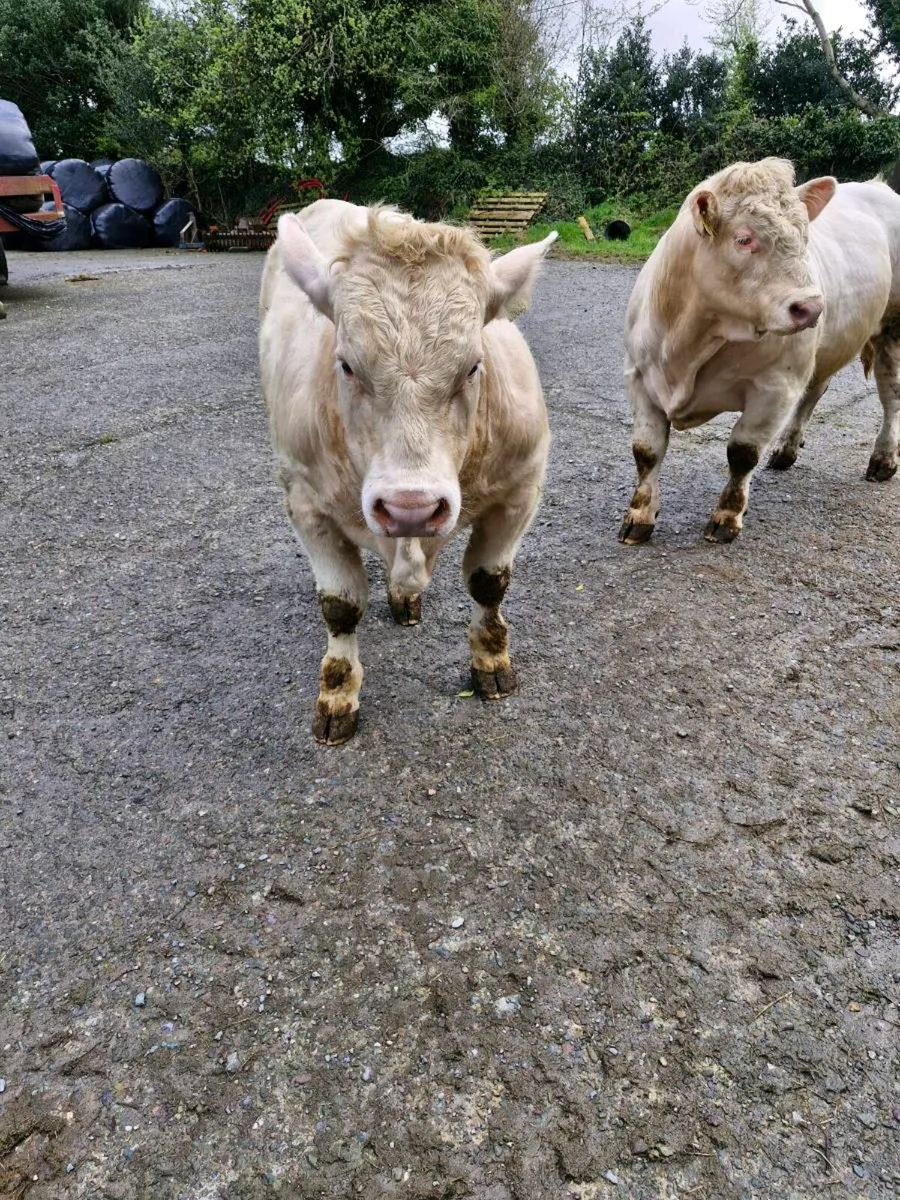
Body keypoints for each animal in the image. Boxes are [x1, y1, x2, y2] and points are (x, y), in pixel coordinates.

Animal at [259, 200, 555, 744]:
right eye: (346, 365)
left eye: (473, 366)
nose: (410, 508)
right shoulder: (305, 501)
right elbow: (339, 604)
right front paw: (337, 695)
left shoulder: (522, 487)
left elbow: (489, 582)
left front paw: (491, 661)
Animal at [619, 157, 900, 544]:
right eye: (744, 239)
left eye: (804, 238)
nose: (812, 308)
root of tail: (877, 186)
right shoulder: (640, 376)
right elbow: (646, 451)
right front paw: (639, 516)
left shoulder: (775, 388)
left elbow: (742, 453)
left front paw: (727, 516)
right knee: (816, 390)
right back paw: (785, 449)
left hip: (892, 329)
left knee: (891, 395)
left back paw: (883, 459)